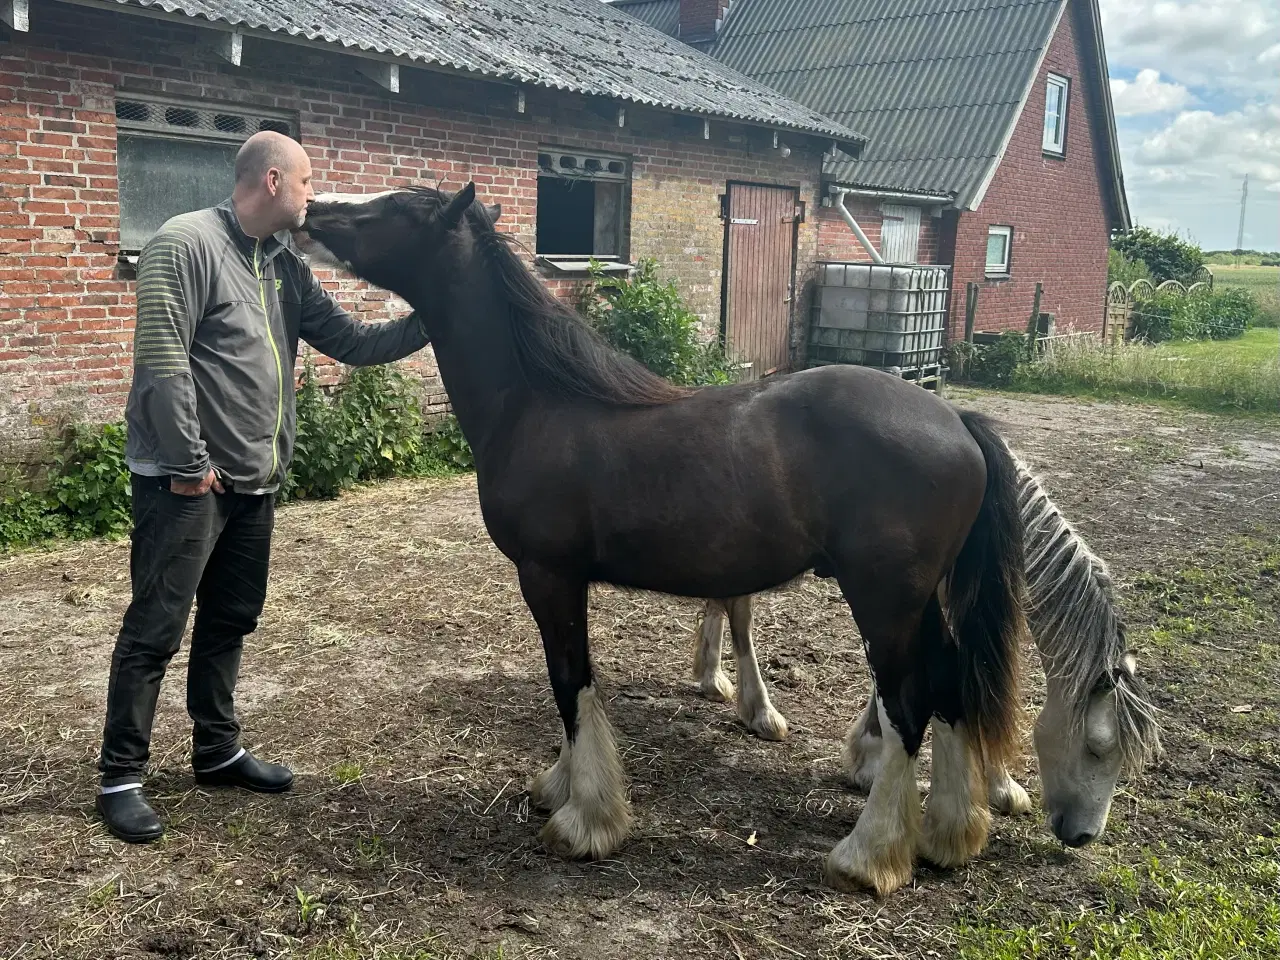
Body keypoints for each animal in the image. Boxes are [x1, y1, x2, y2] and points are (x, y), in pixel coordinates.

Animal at [299, 184, 1029, 901]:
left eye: (397, 208)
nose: (312, 211)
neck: (539, 403)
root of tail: (956, 422)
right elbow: (567, 682)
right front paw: (560, 787)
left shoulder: (549, 576)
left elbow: (571, 682)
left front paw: (587, 820)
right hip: (920, 603)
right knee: (950, 685)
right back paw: (950, 834)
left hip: (885, 602)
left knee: (910, 704)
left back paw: (869, 854)